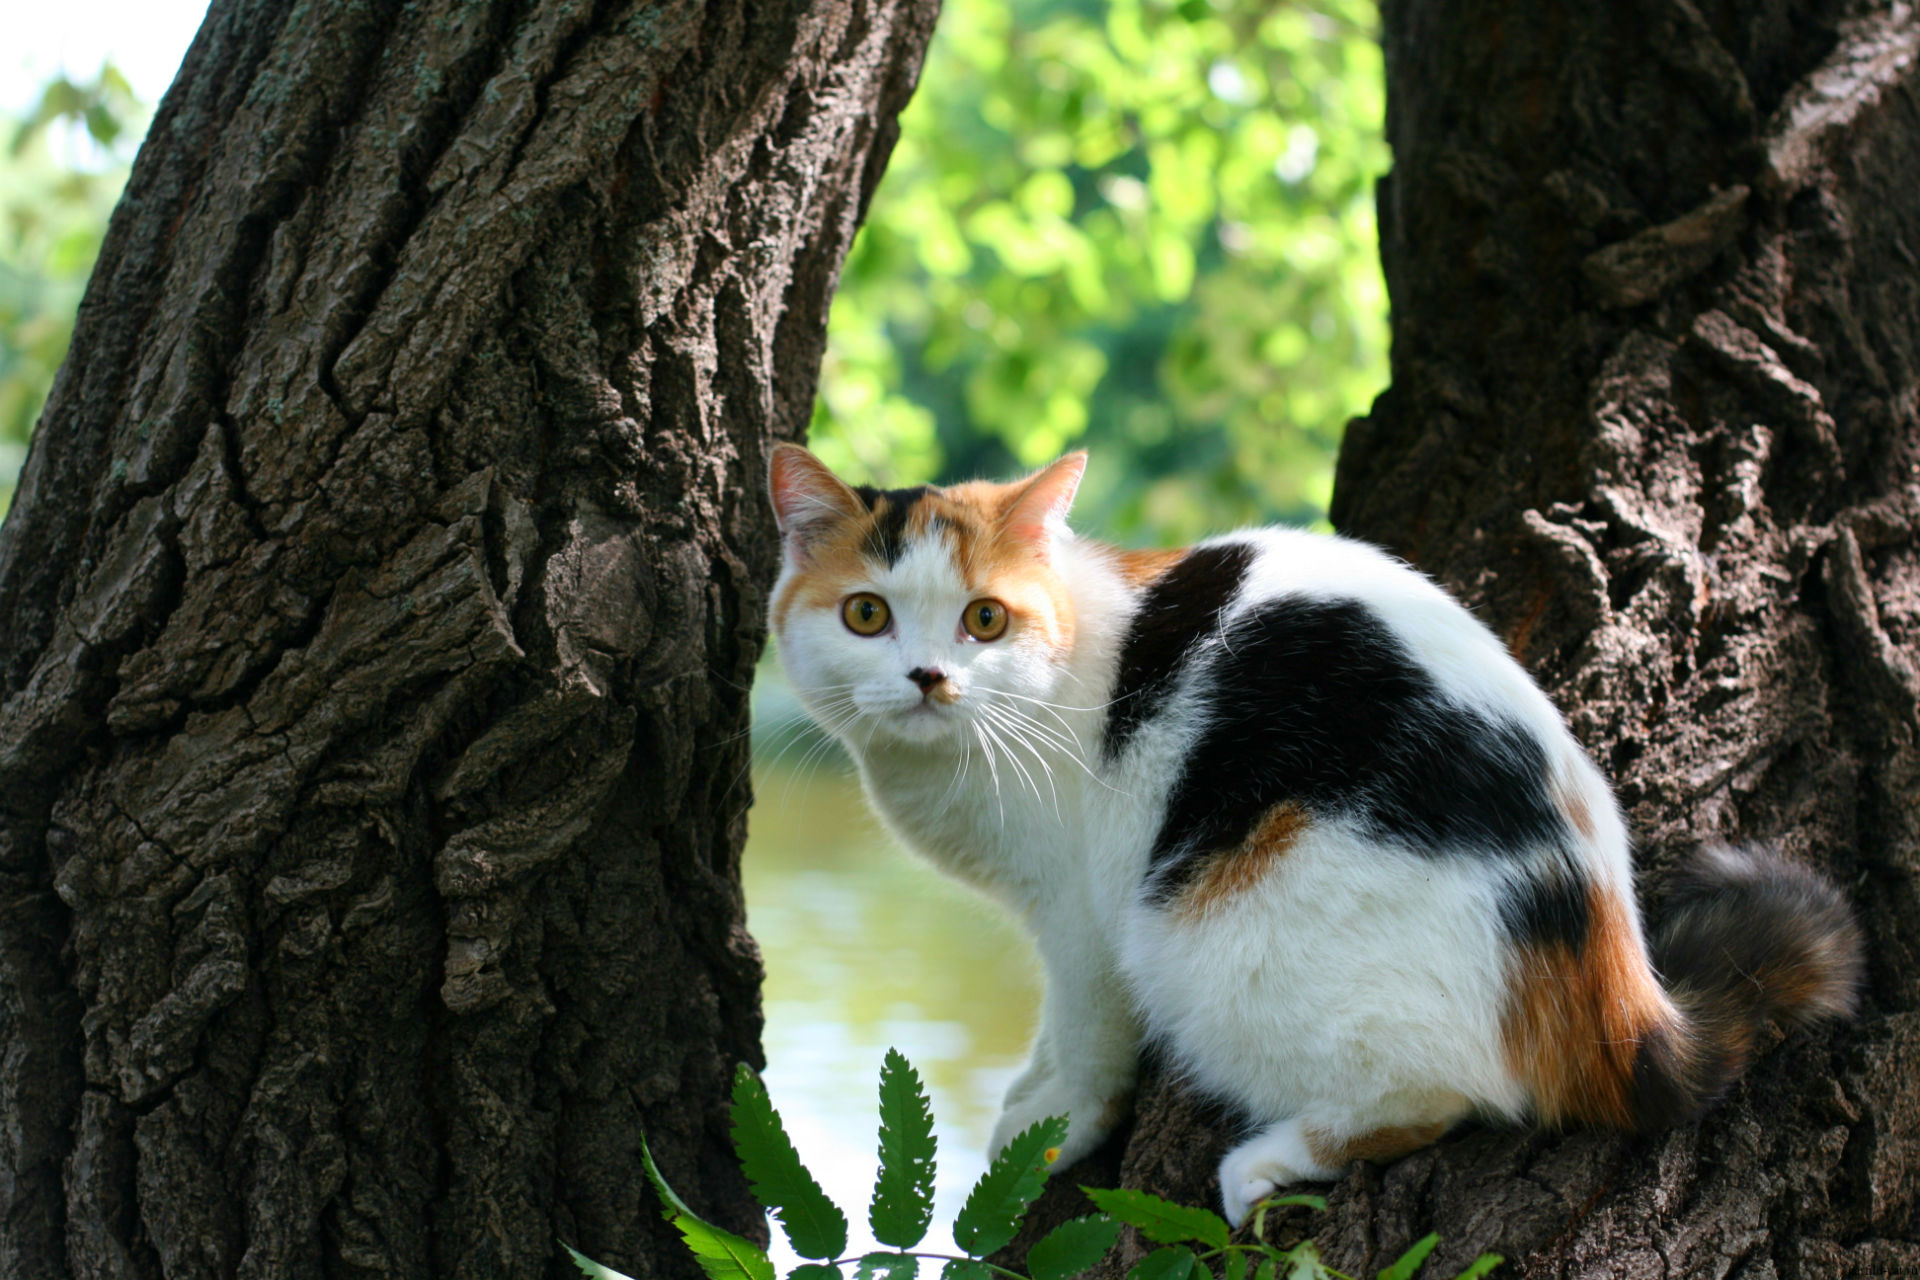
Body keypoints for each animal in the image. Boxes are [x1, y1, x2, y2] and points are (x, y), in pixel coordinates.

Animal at [760, 445, 1858, 1228]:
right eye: (867, 615)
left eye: (984, 620)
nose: (928, 678)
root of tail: (1614, 987)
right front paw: (1029, 1081)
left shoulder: (1081, 915)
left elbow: (1086, 1029)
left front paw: (1056, 1120)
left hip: (1205, 938)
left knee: (1445, 1095)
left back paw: (1270, 1161)